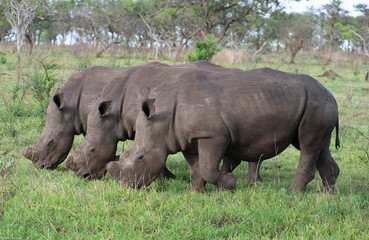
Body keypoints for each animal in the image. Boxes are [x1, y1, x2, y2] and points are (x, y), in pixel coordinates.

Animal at [107, 67, 340, 193]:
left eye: (140, 158)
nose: (124, 185)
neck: (161, 121)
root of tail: (330, 94)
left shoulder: (212, 135)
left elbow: (208, 167)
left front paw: (229, 183)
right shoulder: (187, 138)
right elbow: (197, 166)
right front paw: (195, 191)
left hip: (316, 103)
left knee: (308, 147)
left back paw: (292, 193)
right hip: (316, 104)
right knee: (318, 146)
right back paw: (327, 194)